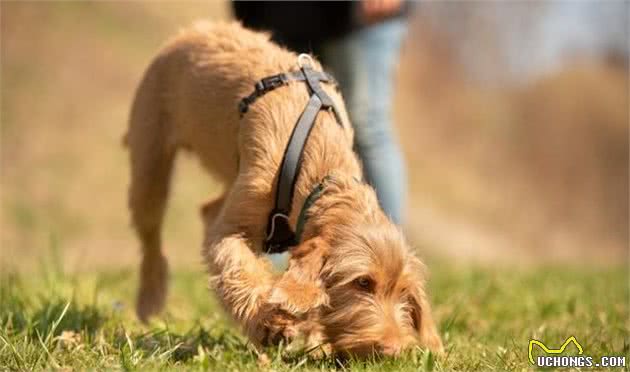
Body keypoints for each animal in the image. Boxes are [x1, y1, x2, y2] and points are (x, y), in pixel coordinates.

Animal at [127, 20, 444, 358]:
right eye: (362, 283)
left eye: (403, 290)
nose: (393, 350)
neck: (323, 172)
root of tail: (194, 29)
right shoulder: (231, 228)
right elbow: (238, 269)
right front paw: (268, 324)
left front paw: (314, 340)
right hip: (150, 158)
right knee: (152, 233)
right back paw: (150, 297)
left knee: (208, 208)